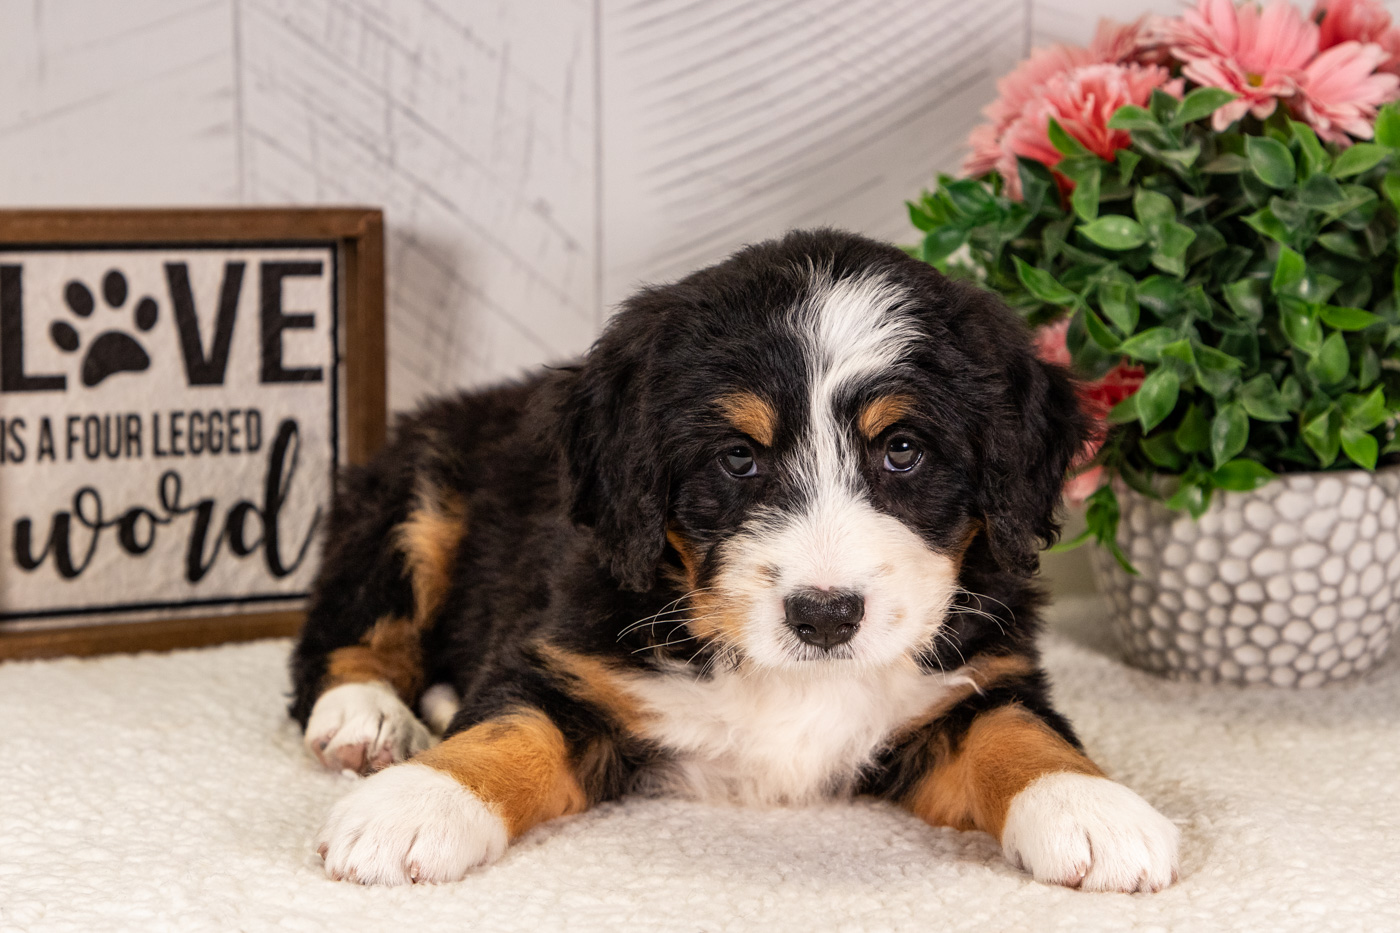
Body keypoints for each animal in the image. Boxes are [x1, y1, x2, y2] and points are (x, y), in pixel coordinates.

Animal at [289, 228, 1176, 890]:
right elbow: (507, 726)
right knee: (343, 635)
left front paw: (1094, 807)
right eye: (738, 458)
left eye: (903, 450)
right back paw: (367, 721)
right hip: (417, 494)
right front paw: (415, 803)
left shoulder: (977, 674)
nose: (825, 615)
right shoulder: (569, 657)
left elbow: (1019, 731)